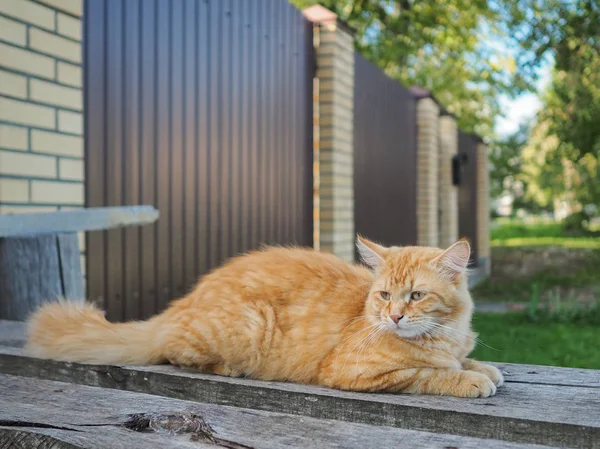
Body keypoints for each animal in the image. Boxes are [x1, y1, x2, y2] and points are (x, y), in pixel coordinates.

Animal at [24, 234, 502, 396]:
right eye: (384, 295)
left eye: (416, 295)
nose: (395, 318)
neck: (444, 334)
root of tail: (179, 304)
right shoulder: (353, 371)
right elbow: (427, 373)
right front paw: (469, 379)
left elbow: (462, 359)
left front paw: (483, 367)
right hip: (247, 328)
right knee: (176, 353)